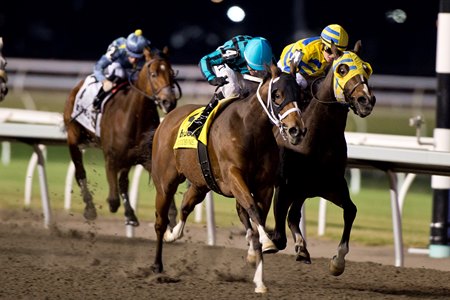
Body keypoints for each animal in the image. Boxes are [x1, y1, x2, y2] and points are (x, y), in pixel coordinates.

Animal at [63, 47, 179, 225]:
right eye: (153, 74)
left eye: (172, 73)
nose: (169, 102)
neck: (133, 117)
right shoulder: (111, 157)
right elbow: (113, 199)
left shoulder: (145, 157)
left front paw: (171, 215)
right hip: (74, 138)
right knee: (80, 172)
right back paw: (90, 208)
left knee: (122, 182)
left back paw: (130, 214)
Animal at [151, 65, 306, 292]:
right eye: (277, 95)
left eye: (300, 96)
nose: (297, 130)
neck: (251, 130)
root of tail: (168, 119)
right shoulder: (234, 176)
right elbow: (252, 210)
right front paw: (268, 243)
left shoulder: (265, 187)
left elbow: (256, 217)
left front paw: (259, 280)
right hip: (165, 183)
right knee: (160, 222)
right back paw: (157, 264)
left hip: (200, 183)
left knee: (186, 205)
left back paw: (174, 234)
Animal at [270, 40, 376, 276]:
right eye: (342, 69)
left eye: (367, 69)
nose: (366, 100)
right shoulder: (285, 187)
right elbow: (278, 235)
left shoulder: (329, 185)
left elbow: (351, 210)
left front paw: (338, 261)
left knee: (293, 216)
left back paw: (302, 249)